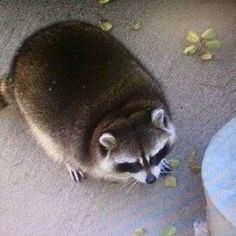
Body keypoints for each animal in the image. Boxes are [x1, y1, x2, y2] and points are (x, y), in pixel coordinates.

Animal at [0, 21, 175, 184]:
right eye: (133, 164)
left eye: (155, 156)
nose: (151, 179)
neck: (122, 111)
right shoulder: (79, 146)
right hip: (32, 110)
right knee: (51, 141)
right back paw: (67, 160)